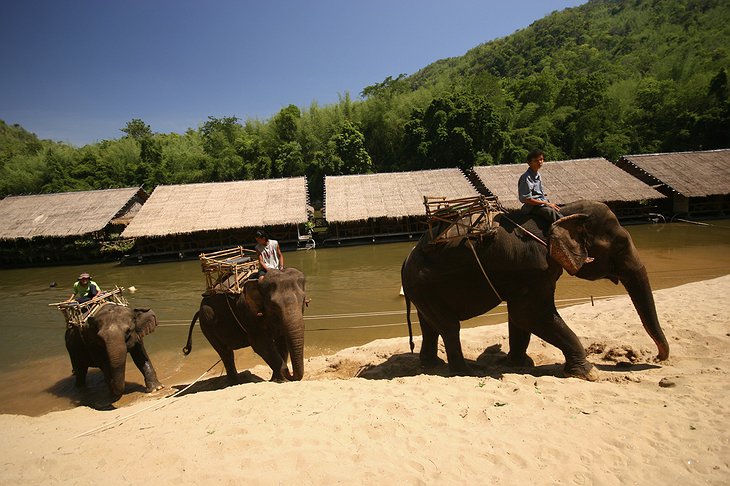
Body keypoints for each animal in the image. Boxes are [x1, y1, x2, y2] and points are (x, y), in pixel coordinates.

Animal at [400, 200, 668, 380]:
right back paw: (466, 372)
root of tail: (406, 260)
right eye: (620, 245)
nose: (657, 358)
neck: (562, 214)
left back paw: (432, 366)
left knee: (431, 326)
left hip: (422, 290)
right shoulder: (533, 267)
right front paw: (588, 373)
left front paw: (519, 364)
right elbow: (531, 314)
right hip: (422, 286)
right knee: (449, 326)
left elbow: (519, 318)